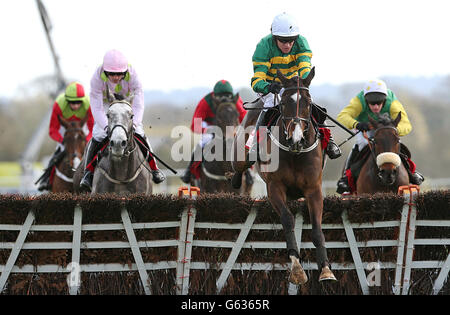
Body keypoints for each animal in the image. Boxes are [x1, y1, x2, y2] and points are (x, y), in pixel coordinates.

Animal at [232, 68, 334, 286]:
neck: (295, 152)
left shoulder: (314, 189)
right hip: (240, 154)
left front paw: (326, 269)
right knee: (239, 166)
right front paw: (296, 268)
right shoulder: (274, 187)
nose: (296, 138)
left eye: (308, 102)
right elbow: (287, 219)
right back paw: (236, 179)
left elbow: (317, 229)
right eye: (285, 102)